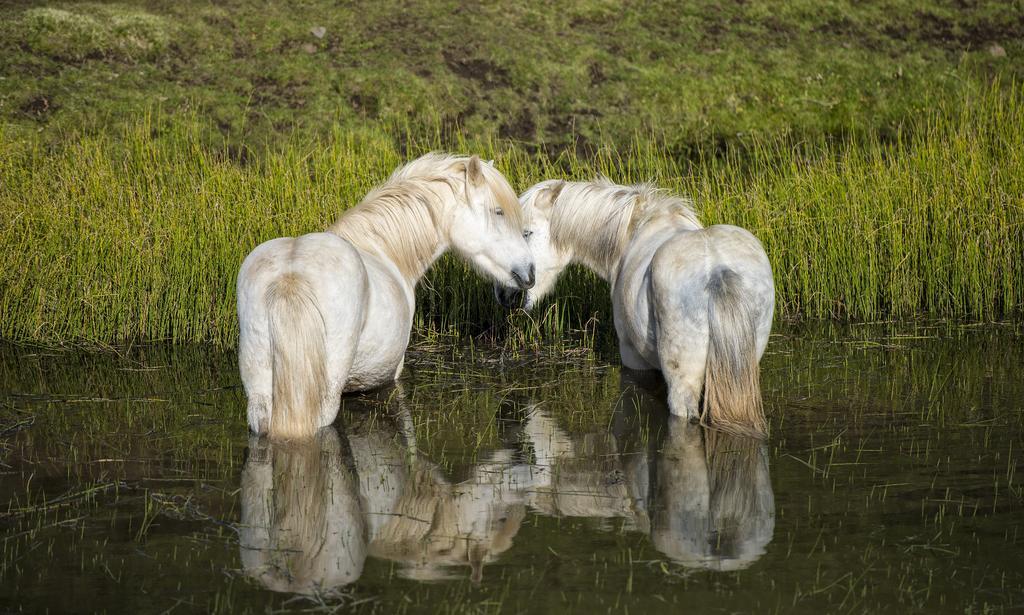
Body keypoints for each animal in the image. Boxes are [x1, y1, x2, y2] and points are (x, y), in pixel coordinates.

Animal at [237, 155, 536, 437]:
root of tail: (291, 274)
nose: (530, 273)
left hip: (259, 395)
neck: (381, 249)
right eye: (498, 212)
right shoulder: (392, 373)